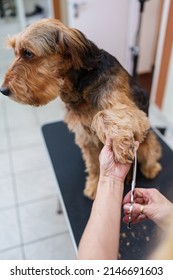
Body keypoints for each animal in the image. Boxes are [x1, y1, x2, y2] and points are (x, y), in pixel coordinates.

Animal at [0, 18, 162, 198]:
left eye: (28, 53)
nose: (3, 90)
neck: (78, 85)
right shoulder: (85, 138)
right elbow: (93, 164)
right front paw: (94, 184)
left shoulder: (135, 114)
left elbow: (102, 114)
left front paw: (120, 144)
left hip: (147, 142)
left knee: (152, 152)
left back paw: (151, 168)